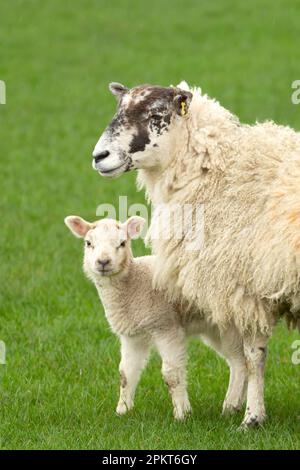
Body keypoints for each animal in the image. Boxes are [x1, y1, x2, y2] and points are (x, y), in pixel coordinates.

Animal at [64, 217, 247, 418]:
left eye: (122, 243)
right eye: (88, 243)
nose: (103, 261)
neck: (133, 285)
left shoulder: (165, 325)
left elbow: (171, 373)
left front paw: (182, 413)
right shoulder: (132, 335)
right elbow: (125, 373)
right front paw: (122, 410)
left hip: (231, 323)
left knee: (240, 362)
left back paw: (230, 406)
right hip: (215, 328)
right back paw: (236, 405)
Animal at [91, 81, 300, 430]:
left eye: (156, 115)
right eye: (118, 109)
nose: (99, 156)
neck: (218, 170)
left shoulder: (246, 288)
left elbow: (254, 356)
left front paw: (252, 419)